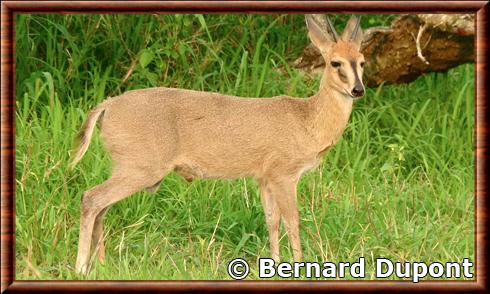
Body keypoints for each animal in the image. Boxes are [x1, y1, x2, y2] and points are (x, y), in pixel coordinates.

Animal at [72, 14, 364, 274]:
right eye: (335, 63)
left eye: (362, 61)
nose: (358, 90)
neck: (308, 120)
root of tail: (106, 107)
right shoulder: (284, 173)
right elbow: (293, 221)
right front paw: (298, 266)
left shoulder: (265, 177)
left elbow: (271, 220)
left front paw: (274, 265)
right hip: (140, 166)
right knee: (91, 198)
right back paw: (80, 268)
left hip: (128, 166)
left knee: (101, 208)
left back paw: (100, 266)